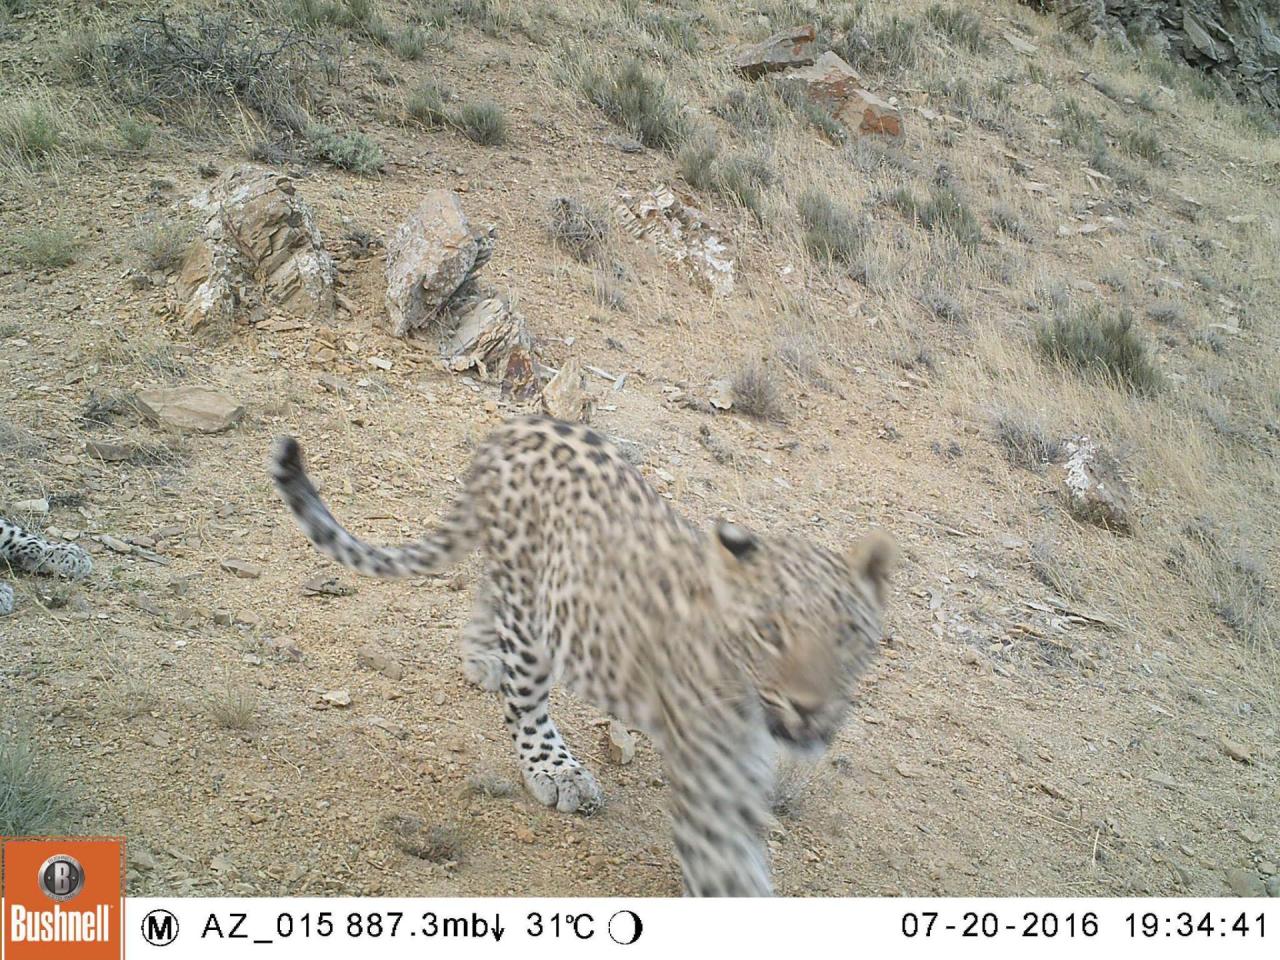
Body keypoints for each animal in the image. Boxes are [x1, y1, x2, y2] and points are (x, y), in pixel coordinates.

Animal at [270, 417, 896, 901]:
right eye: (768, 633)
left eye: (848, 635)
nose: (809, 708)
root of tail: (506, 431)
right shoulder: (708, 766)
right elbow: (721, 864)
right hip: (531, 617)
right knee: (524, 702)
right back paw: (555, 769)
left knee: (486, 595)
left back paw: (482, 659)